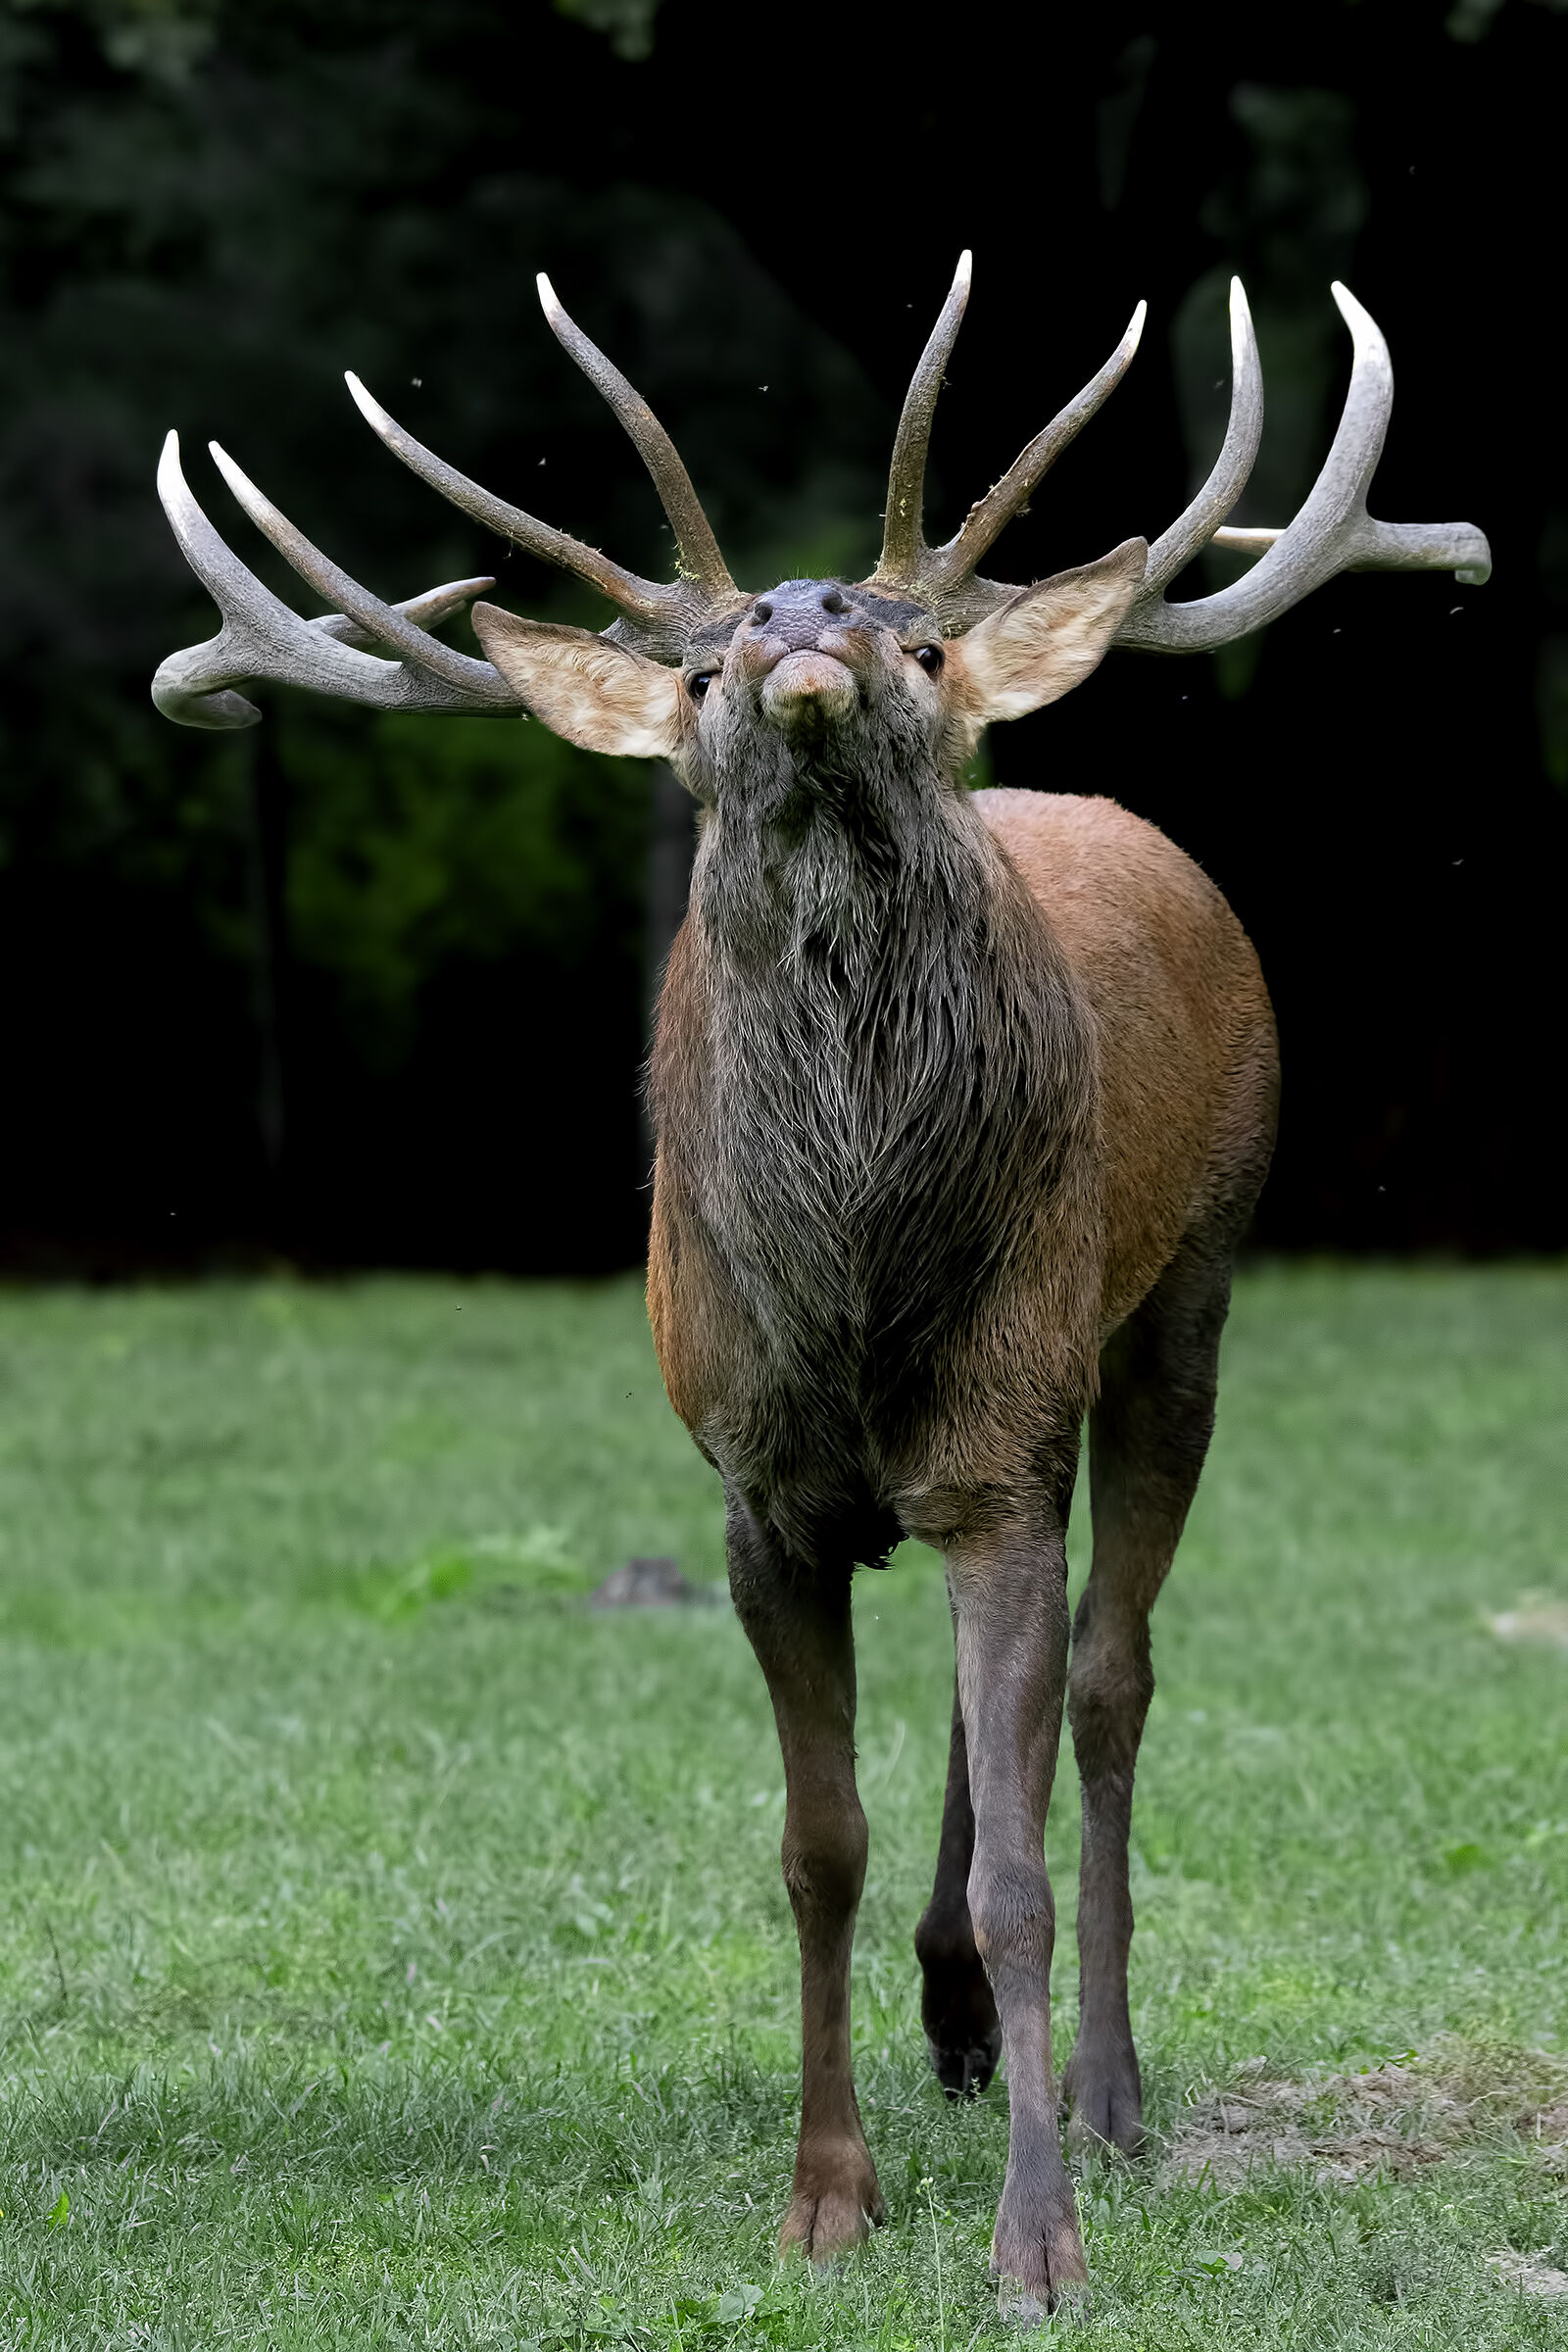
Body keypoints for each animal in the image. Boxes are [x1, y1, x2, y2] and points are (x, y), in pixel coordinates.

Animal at [152, 254, 1489, 2318]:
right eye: (701, 672)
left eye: (920, 647)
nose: (801, 623)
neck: (854, 1285)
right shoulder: (758, 1486)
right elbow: (815, 1846)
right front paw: (826, 2197)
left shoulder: (1002, 1428)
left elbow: (1021, 1857)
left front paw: (1037, 2242)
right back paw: (954, 2029)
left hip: (1184, 1287)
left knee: (1107, 1681)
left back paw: (1105, 2089)